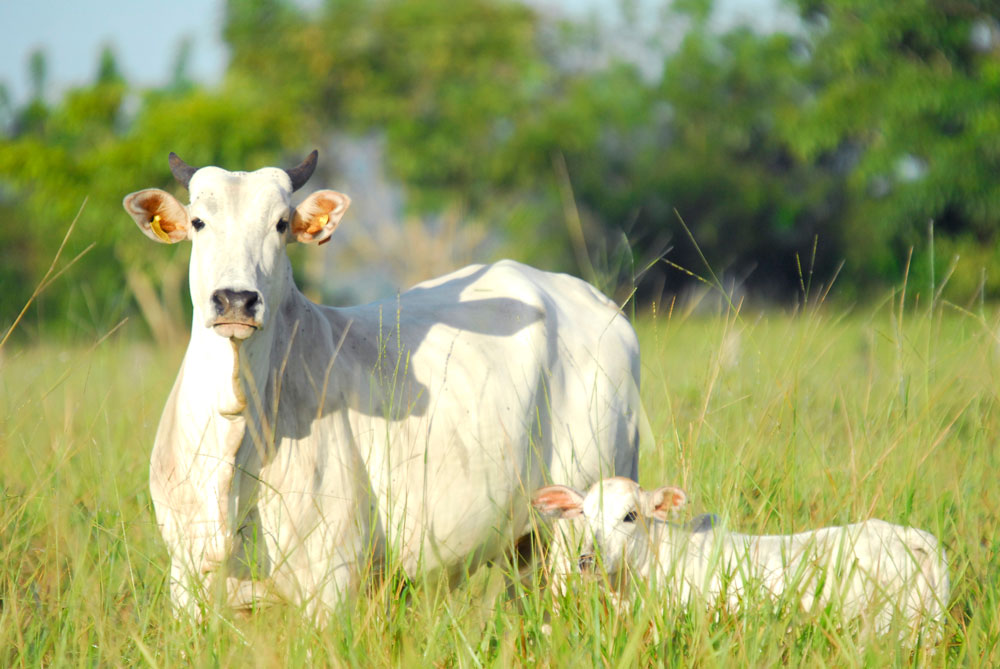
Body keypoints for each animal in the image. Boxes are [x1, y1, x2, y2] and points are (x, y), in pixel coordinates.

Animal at [123, 150, 640, 616]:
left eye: (281, 224)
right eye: (198, 222)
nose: (235, 300)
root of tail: (595, 303)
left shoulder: (330, 583)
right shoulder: (186, 581)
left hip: (581, 534)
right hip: (526, 548)